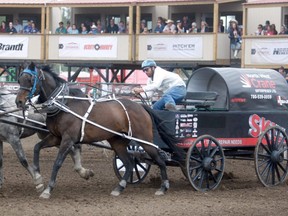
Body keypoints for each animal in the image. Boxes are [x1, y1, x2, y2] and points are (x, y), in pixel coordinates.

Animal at [15, 62, 180, 199]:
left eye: (30, 79)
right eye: (19, 79)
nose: (19, 102)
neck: (63, 103)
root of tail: (141, 106)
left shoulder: (68, 139)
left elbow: (57, 162)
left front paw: (48, 189)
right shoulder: (56, 137)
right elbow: (37, 148)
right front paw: (37, 177)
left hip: (144, 139)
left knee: (159, 160)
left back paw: (163, 187)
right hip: (117, 142)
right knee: (129, 163)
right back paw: (119, 188)